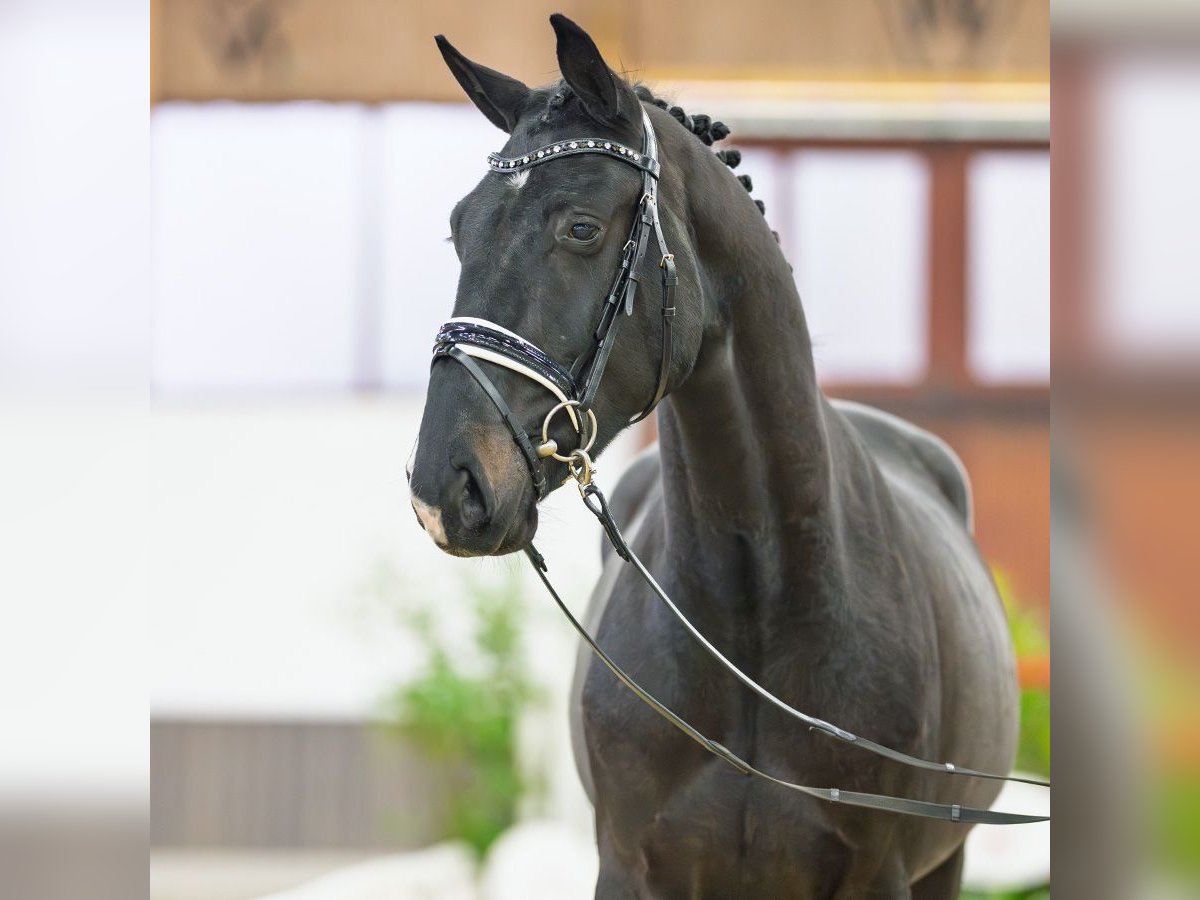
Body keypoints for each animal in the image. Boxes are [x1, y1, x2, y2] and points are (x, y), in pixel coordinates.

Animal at [410, 15, 1022, 900]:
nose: (447, 489)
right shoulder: (630, 867)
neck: (753, 617)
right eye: (461, 228)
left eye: (582, 228)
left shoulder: (878, 874)